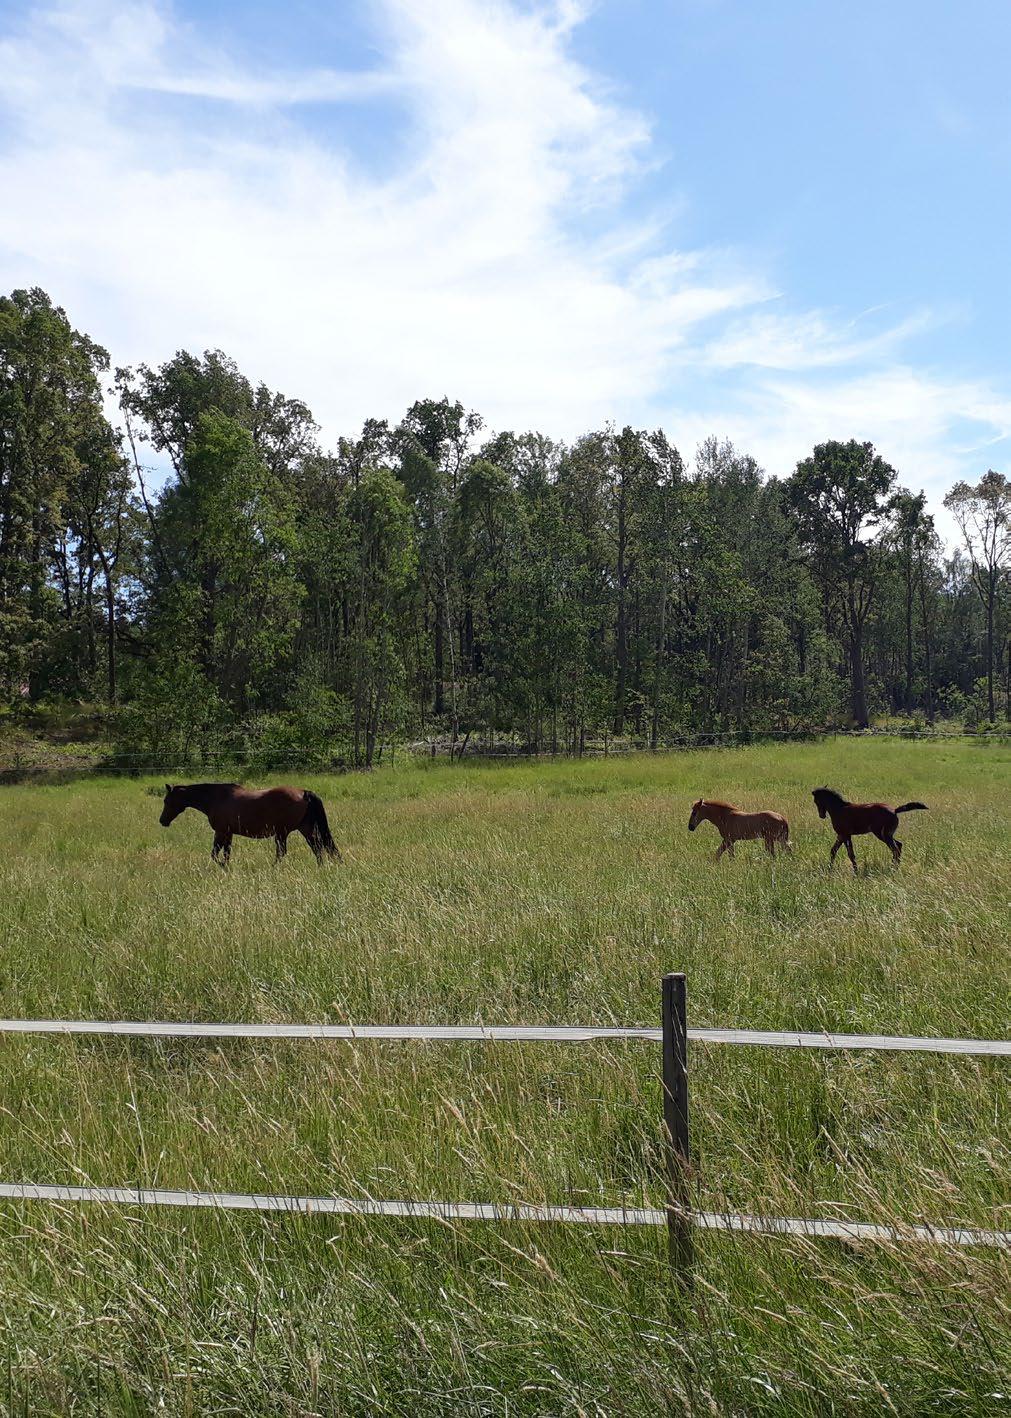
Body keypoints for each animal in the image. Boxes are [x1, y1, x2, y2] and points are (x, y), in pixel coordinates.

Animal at [159, 788, 341, 862]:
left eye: (167, 800)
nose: (162, 821)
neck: (216, 797)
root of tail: (303, 793)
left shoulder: (221, 831)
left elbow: (215, 855)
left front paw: (222, 867)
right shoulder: (228, 833)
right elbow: (226, 854)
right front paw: (226, 868)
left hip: (282, 832)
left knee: (282, 852)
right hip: (306, 829)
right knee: (318, 847)